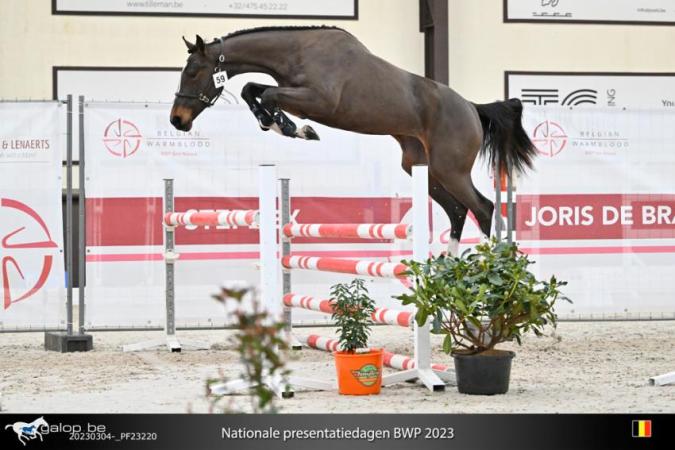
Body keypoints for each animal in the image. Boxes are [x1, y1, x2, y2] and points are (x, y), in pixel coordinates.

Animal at [170, 26, 536, 255]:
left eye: (193, 71)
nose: (177, 120)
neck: (299, 52)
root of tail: (472, 108)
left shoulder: (317, 101)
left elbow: (268, 94)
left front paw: (290, 127)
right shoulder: (292, 91)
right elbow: (253, 89)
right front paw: (277, 124)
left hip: (451, 170)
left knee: (483, 208)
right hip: (421, 168)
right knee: (458, 210)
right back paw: (450, 266)